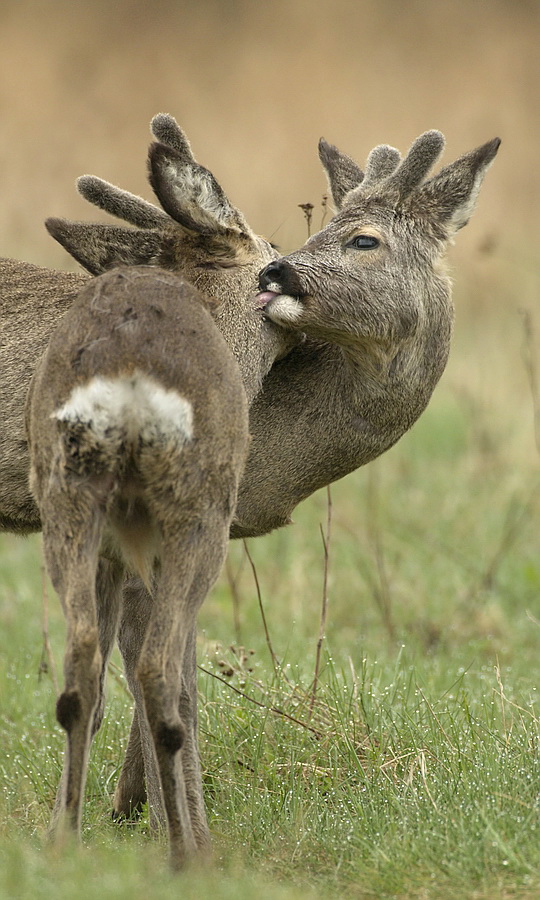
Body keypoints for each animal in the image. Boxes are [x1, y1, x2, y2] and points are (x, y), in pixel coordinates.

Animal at [25, 266, 249, 864]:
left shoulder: (110, 555)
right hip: (200, 515)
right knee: (159, 669)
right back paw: (185, 855)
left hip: (67, 498)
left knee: (81, 658)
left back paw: (64, 840)